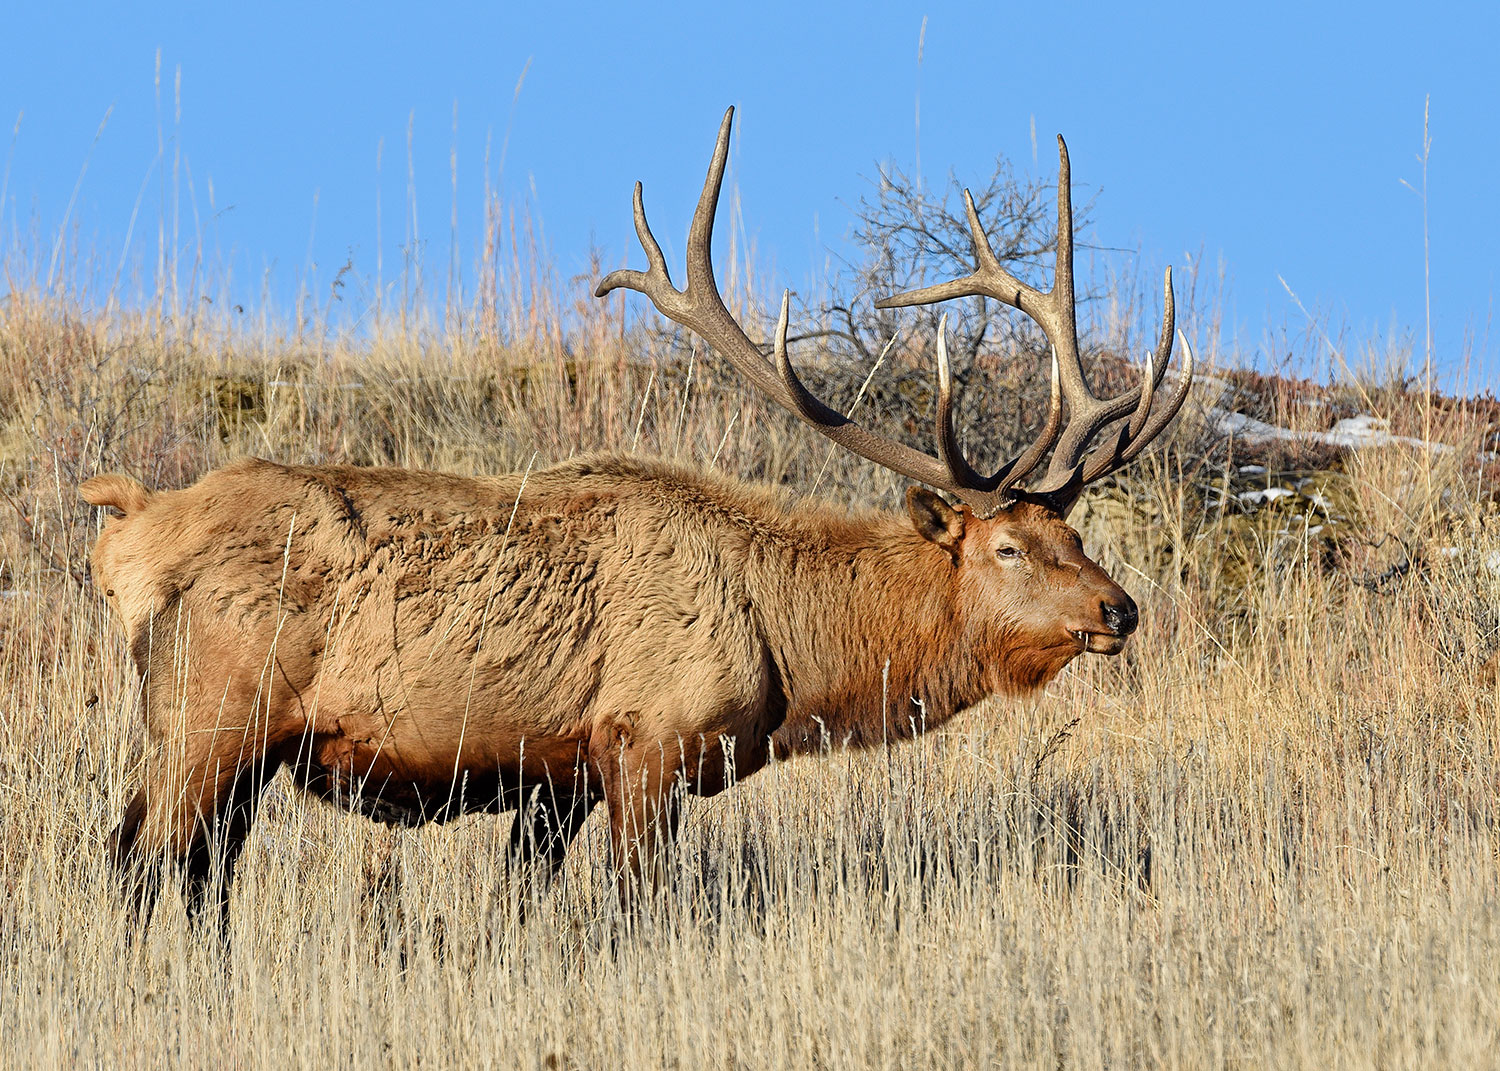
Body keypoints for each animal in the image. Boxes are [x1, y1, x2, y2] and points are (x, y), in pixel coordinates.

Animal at [85, 110, 1194, 924]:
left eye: (1076, 536)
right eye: (1009, 546)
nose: (1120, 610)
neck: (785, 651)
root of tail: (125, 533)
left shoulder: (556, 779)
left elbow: (522, 905)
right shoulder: (648, 738)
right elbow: (639, 909)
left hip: (222, 738)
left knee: (187, 869)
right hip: (210, 708)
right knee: (143, 861)